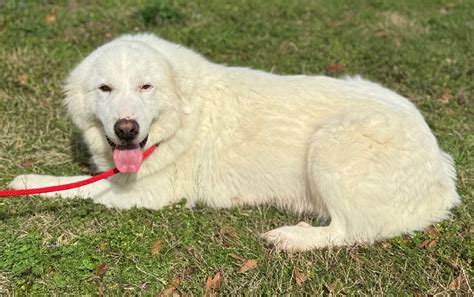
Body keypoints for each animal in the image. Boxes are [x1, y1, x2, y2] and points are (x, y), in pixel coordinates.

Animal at [8, 33, 460, 250]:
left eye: (145, 87)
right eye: (104, 89)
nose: (126, 129)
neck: (178, 117)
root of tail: (441, 168)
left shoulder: (148, 195)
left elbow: (76, 189)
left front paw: (30, 185)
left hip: (330, 143)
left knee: (353, 230)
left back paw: (293, 239)